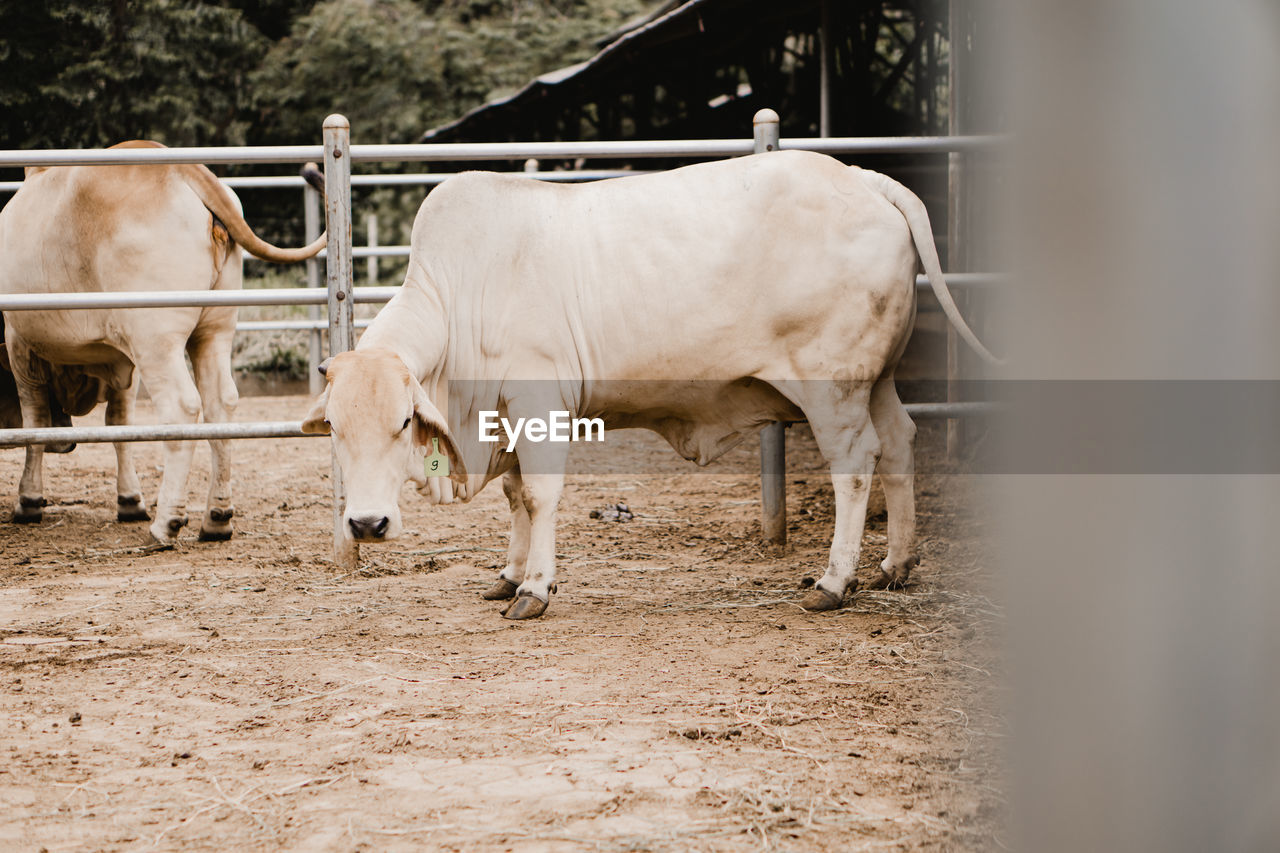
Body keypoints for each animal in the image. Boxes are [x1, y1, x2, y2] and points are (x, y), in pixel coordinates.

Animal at [0, 138, 325, 537]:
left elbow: (35, 420)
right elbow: (119, 423)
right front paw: (129, 500)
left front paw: (28, 499)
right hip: (212, 331)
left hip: (156, 340)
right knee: (221, 403)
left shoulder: (19, 342)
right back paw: (216, 516)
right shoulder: (122, 357)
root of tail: (175, 165)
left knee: (181, 407)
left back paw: (167, 520)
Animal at [302, 151, 998, 617]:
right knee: (901, 443)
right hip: (875, 381)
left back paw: (833, 583)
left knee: (856, 464)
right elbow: (516, 495)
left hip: (833, 385)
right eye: (333, 427)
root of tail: (864, 179)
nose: (366, 524)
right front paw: (509, 574)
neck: (461, 293)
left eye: (402, 422)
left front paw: (534, 589)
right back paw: (894, 565)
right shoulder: (506, 415)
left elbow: (539, 496)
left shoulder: (540, 401)